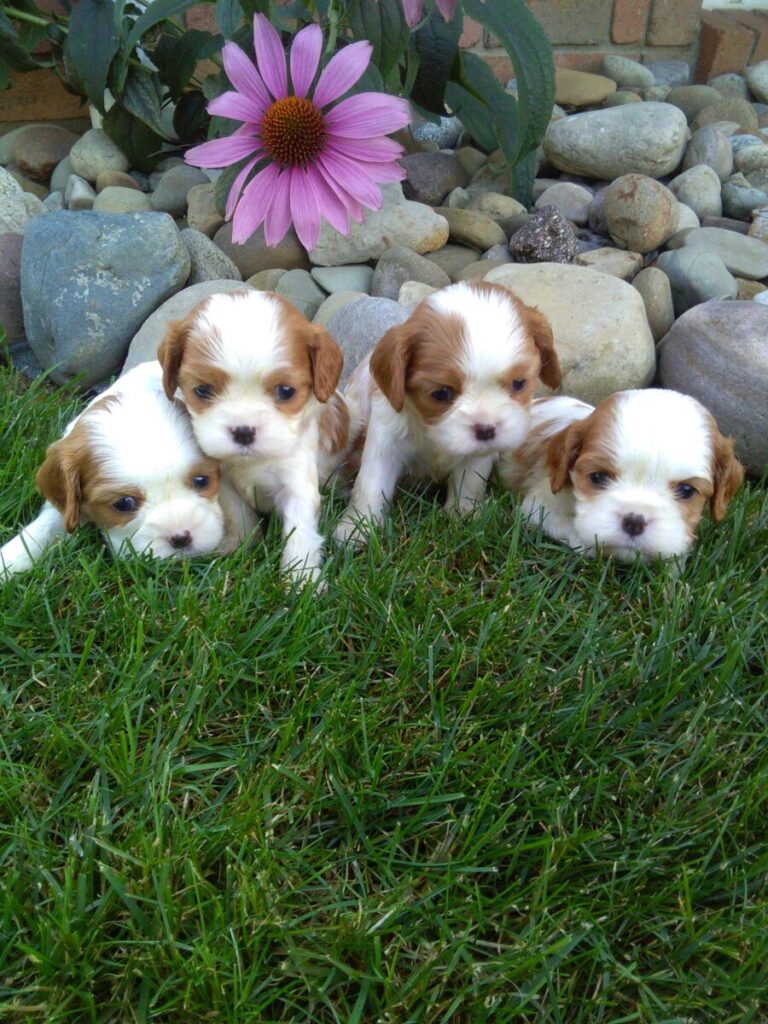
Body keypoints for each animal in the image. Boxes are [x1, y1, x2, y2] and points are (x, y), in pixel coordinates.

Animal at [157, 288, 354, 585]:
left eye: (286, 391)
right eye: (202, 390)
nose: (243, 431)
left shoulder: (296, 481)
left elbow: (300, 531)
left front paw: (301, 579)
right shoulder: (224, 481)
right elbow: (238, 513)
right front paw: (237, 545)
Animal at [333, 276, 561, 540]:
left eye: (519, 383)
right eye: (441, 393)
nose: (486, 429)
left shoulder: (478, 455)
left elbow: (469, 482)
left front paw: (464, 514)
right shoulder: (386, 440)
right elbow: (371, 484)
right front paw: (356, 527)